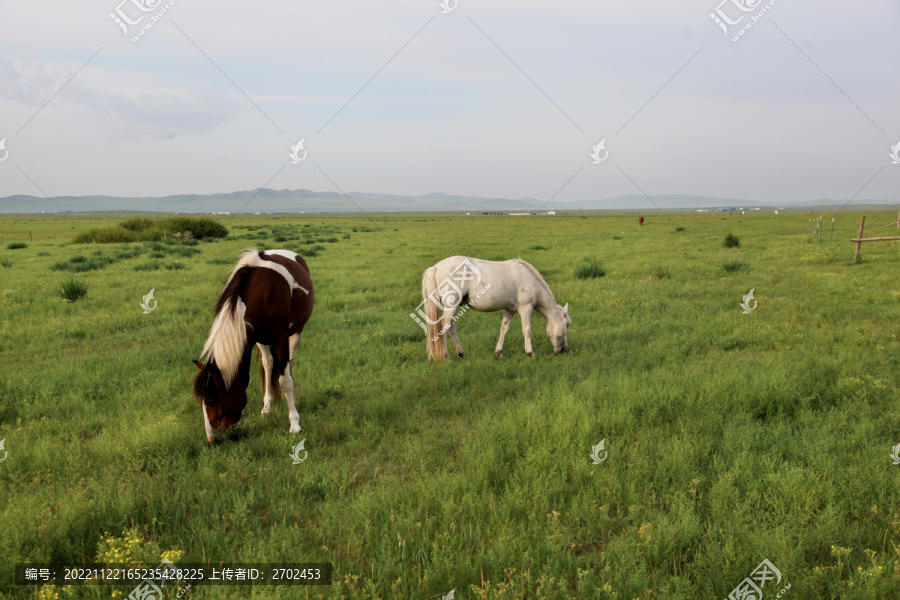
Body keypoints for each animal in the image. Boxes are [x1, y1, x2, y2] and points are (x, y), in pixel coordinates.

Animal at [192, 247, 314, 440]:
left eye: (212, 401)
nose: (211, 439)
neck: (262, 294)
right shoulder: (255, 337)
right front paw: (262, 409)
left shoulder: (280, 338)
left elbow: (285, 381)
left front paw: (295, 424)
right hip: (263, 341)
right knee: (269, 364)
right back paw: (267, 407)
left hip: (297, 331)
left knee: (290, 362)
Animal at [420, 254, 568, 360]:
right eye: (567, 325)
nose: (564, 349)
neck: (528, 278)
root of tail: (436, 267)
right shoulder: (526, 309)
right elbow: (527, 330)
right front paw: (530, 353)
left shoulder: (510, 310)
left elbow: (504, 329)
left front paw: (499, 352)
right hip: (452, 305)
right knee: (444, 328)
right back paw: (446, 356)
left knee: (452, 328)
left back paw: (462, 354)